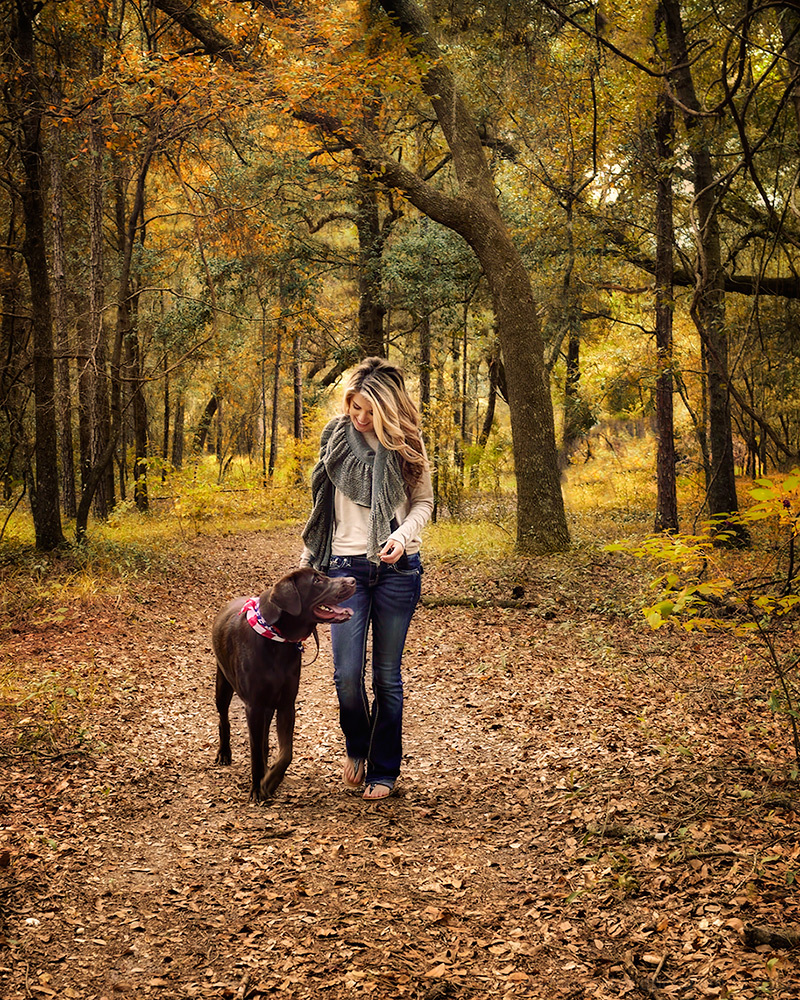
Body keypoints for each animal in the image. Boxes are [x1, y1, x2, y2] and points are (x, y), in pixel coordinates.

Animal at [211, 568, 354, 800]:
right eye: (317, 580)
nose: (353, 580)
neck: (277, 641)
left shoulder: (287, 703)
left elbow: (286, 752)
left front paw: (270, 782)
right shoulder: (254, 706)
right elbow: (255, 752)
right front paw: (257, 788)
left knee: (264, 739)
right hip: (223, 684)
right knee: (224, 719)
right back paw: (224, 753)